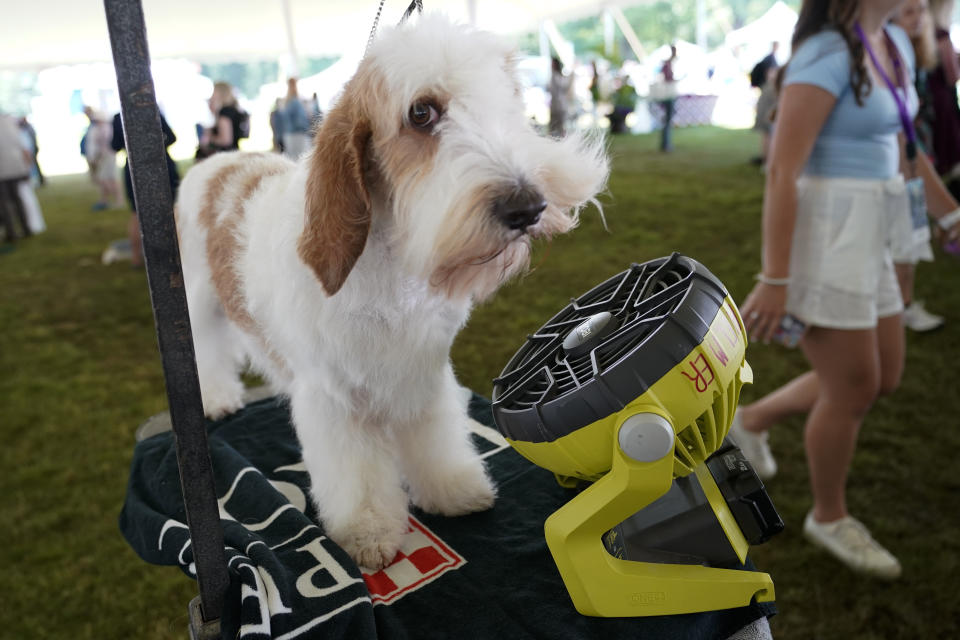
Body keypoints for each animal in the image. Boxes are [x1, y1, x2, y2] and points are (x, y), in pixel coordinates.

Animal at [174, 15, 608, 568]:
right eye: (421, 113)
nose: (528, 206)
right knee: (206, 353)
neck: (389, 265)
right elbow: (357, 477)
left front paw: (452, 489)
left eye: (507, 97)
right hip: (197, 305)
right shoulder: (333, 399)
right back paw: (217, 398)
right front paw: (369, 532)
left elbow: (436, 439)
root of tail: (217, 165)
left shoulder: (423, 373)